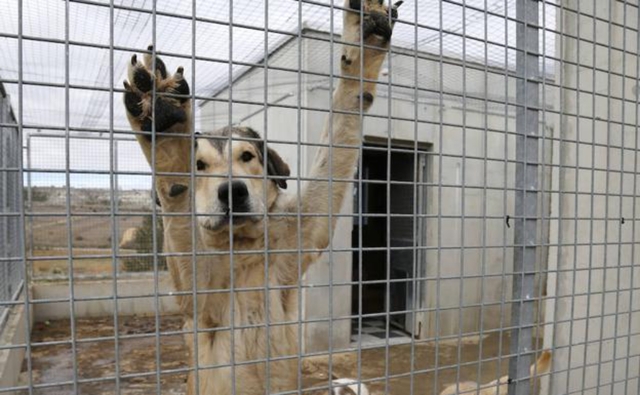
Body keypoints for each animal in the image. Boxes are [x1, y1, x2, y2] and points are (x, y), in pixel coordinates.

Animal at [120, 1, 400, 394]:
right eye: (199, 165)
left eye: (247, 156)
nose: (232, 191)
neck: (242, 248)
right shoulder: (197, 294)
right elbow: (180, 217)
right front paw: (167, 134)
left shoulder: (306, 229)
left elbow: (341, 124)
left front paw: (363, 45)